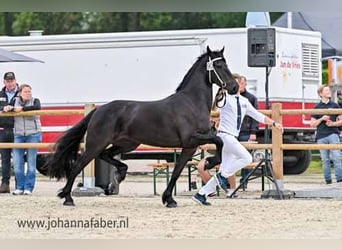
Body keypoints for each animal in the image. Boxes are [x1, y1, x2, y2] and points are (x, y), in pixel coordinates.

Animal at [44, 46, 238, 207]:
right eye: (219, 65)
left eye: (226, 64)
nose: (234, 87)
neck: (191, 103)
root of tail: (99, 110)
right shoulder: (191, 139)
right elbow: (219, 140)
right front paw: (210, 162)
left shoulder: (190, 146)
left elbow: (177, 171)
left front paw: (169, 199)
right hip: (96, 143)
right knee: (78, 165)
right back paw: (68, 198)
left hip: (127, 144)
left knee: (106, 155)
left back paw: (119, 175)